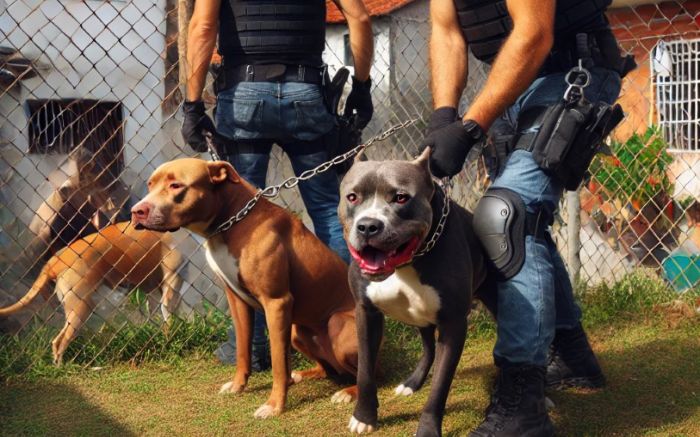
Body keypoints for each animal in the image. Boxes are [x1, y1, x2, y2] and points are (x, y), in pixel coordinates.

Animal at [0, 221, 183, 364]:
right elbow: (169, 317)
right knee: (60, 342)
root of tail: (56, 261)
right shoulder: (171, 285)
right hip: (81, 308)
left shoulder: (157, 290)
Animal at [131, 158, 358, 418]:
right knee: (329, 369)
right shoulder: (236, 300)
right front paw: (238, 385)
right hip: (296, 332)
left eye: (176, 185)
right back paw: (302, 375)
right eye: (150, 184)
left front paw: (274, 405)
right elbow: (243, 348)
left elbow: (278, 363)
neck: (232, 220)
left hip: (337, 324)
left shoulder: (276, 302)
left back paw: (348, 393)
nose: (136, 211)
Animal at [340, 147, 492, 436]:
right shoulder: (365, 312)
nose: (368, 226)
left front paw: (428, 429)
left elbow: (440, 387)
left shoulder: (453, 323)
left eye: (401, 198)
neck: (406, 264)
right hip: (420, 317)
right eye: (352, 197)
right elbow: (364, 371)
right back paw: (412, 382)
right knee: (428, 347)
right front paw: (364, 417)